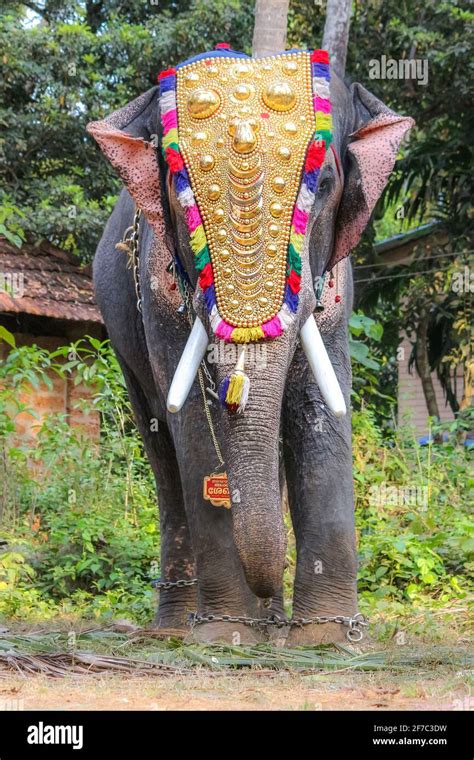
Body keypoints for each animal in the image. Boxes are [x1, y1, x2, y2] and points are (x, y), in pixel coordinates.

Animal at [87, 44, 412, 644]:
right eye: (178, 192)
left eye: (323, 182)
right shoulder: (160, 283)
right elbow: (193, 419)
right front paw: (225, 637)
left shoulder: (336, 282)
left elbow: (317, 405)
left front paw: (327, 641)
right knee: (159, 444)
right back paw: (182, 627)